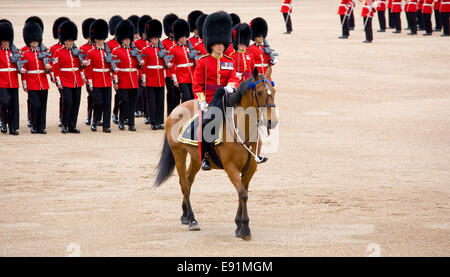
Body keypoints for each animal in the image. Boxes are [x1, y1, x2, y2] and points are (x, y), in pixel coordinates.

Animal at [153, 67, 276, 239]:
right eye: (259, 92)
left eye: (274, 91)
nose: (272, 122)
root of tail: (176, 110)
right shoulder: (231, 167)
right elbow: (242, 194)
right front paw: (245, 228)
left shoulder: (250, 167)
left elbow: (243, 192)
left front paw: (239, 225)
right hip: (179, 153)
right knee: (184, 184)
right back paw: (192, 219)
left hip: (196, 157)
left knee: (189, 181)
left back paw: (185, 215)